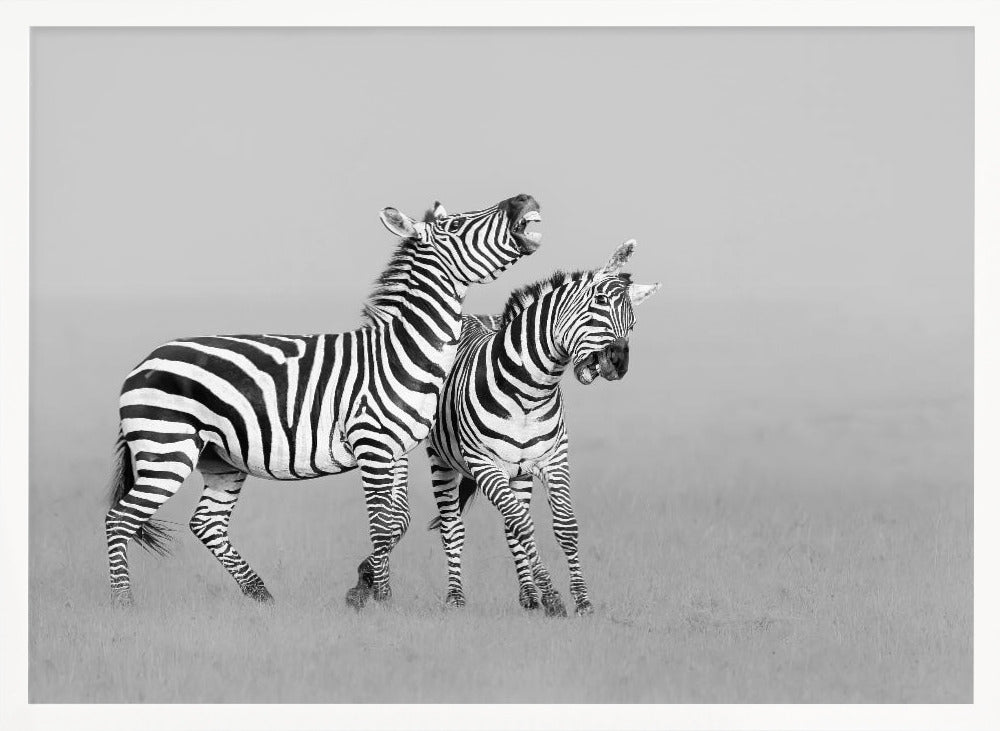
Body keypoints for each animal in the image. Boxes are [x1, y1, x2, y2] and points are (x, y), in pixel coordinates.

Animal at [104, 193, 543, 609]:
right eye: (455, 225)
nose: (523, 199)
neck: (402, 350)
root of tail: (143, 363)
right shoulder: (372, 444)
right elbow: (381, 523)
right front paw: (381, 598)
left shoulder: (397, 450)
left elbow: (398, 520)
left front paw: (365, 584)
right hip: (167, 449)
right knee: (118, 519)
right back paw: (124, 603)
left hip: (220, 459)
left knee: (206, 524)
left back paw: (261, 595)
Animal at [423, 239, 660, 615]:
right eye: (597, 305)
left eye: (632, 323)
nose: (619, 361)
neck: (529, 393)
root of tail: (470, 317)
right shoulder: (485, 465)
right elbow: (523, 525)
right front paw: (553, 597)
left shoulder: (553, 460)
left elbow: (563, 526)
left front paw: (580, 600)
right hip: (440, 460)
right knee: (453, 528)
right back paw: (456, 598)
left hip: (518, 472)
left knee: (511, 526)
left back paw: (528, 596)